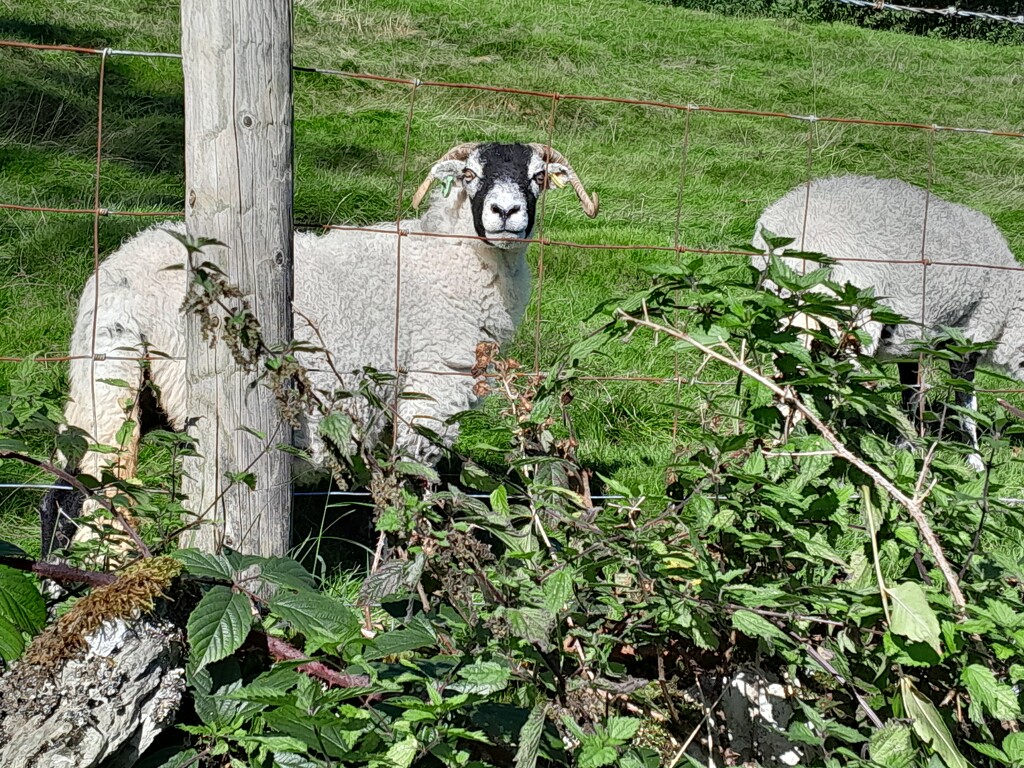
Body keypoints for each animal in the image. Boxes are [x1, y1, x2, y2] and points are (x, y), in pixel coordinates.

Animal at [749, 177, 1019, 473]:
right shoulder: (966, 337)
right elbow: (964, 403)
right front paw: (975, 461)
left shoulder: (912, 344)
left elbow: (911, 395)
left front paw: (908, 446)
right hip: (849, 319)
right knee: (832, 385)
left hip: (788, 320)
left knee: (790, 380)